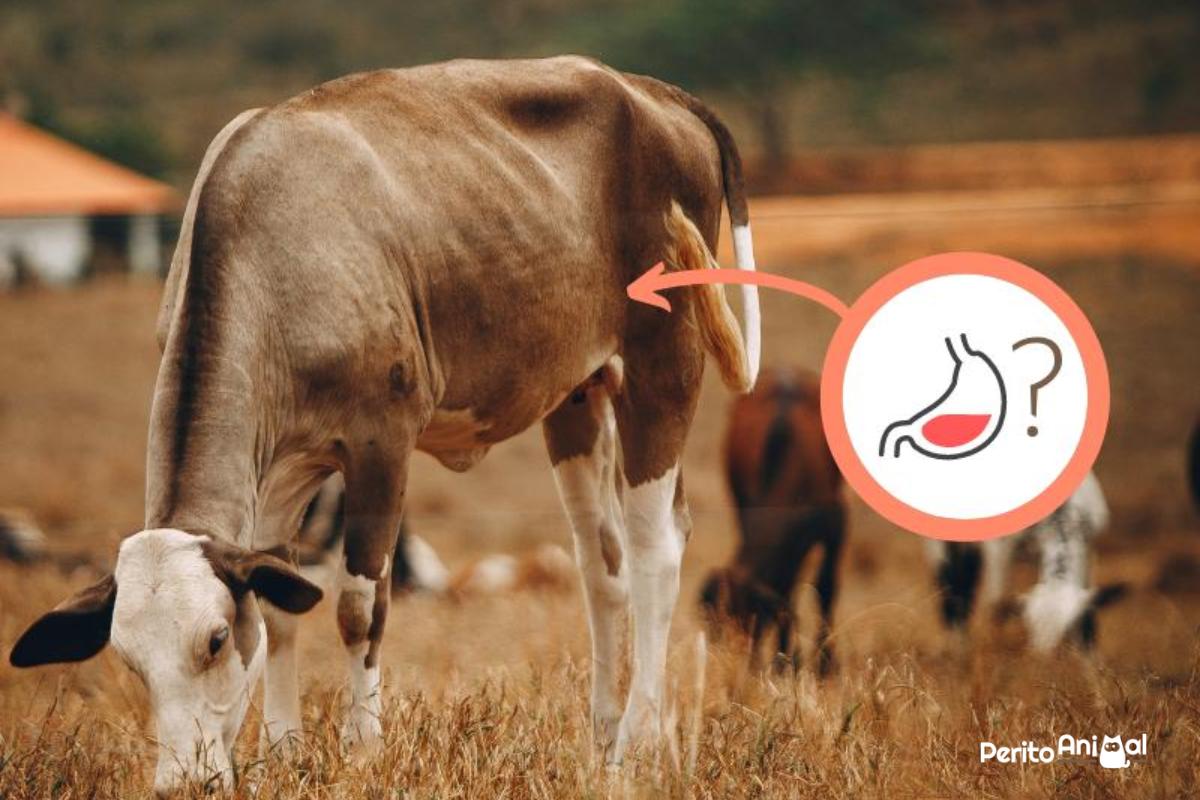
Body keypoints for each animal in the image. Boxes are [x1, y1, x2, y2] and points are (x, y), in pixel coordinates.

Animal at [7, 56, 761, 793]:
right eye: (129, 660)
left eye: (215, 639)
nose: (183, 783)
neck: (271, 253)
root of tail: (645, 88)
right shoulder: (281, 473)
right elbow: (282, 609)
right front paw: (282, 754)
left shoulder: (380, 445)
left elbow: (357, 607)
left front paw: (361, 750)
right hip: (578, 395)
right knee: (602, 563)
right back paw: (605, 745)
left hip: (665, 364)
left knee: (655, 551)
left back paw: (638, 745)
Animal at [699, 368, 845, 675]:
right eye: (720, 627)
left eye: (754, 619)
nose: (743, 664)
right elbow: (786, 588)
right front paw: (785, 659)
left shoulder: (836, 521)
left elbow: (825, 587)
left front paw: (825, 664)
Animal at [928, 470, 1127, 651]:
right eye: (1032, 627)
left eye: (1067, 630)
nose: (1045, 656)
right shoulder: (998, 549)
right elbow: (997, 603)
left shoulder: (1088, 550)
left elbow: (1088, 611)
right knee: (950, 580)